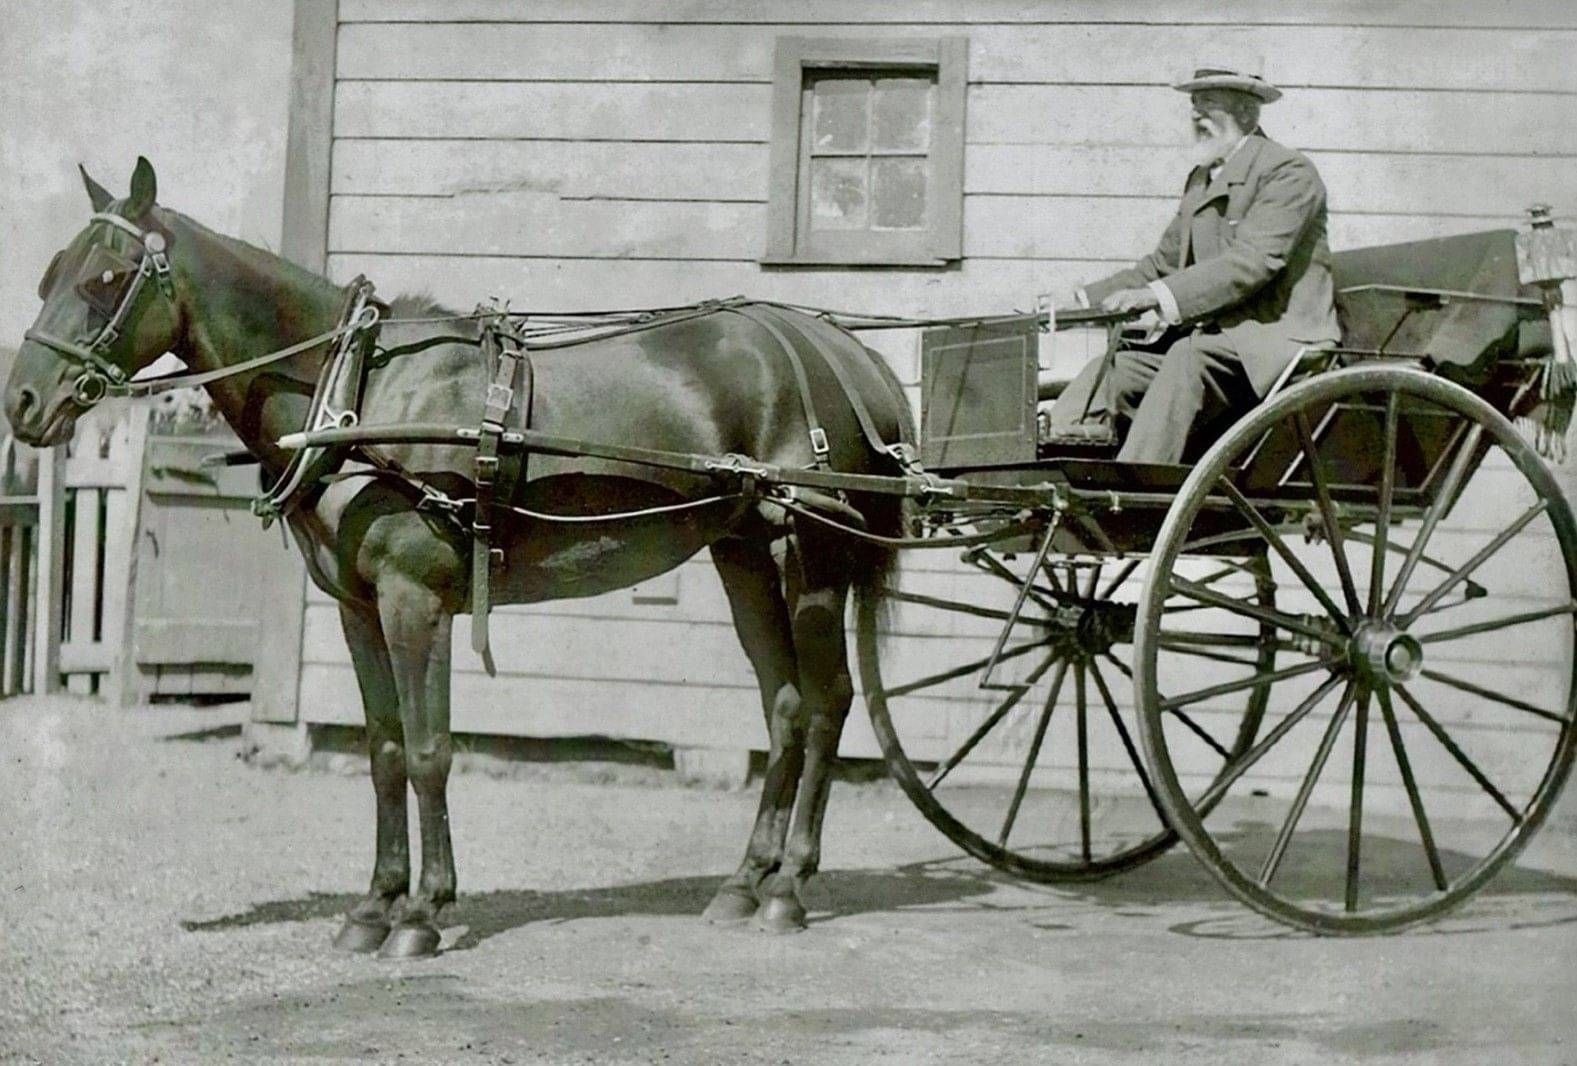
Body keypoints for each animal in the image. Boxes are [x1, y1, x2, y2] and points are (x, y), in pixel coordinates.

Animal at [5, 158, 915, 957]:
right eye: (49, 273)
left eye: (105, 276)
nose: (21, 402)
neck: (359, 391)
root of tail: (849, 354)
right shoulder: (358, 608)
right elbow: (382, 753)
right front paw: (373, 906)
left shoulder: (416, 600)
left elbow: (429, 749)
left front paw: (421, 913)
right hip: (745, 553)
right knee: (786, 707)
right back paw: (743, 883)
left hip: (814, 554)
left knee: (829, 703)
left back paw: (788, 888)